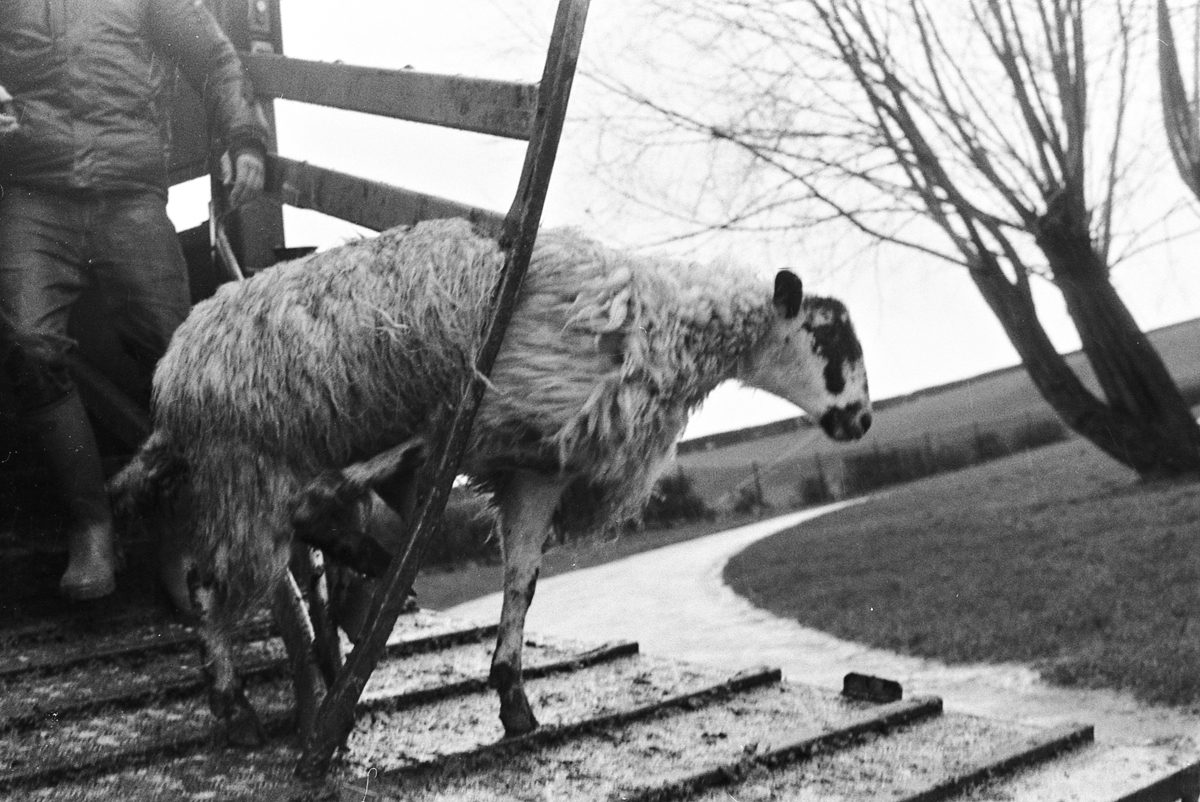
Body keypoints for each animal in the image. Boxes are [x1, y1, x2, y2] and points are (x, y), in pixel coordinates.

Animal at [110, 214, 873, 744]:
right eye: (830, 338)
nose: (863, 421)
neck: (664, 324)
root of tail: (172, 371)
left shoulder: (533, 462)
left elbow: (522, 582)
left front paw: (513, 698)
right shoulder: (466, 421)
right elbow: (369, 489)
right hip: (246, 467)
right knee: (215, 578)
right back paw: (232, 702)